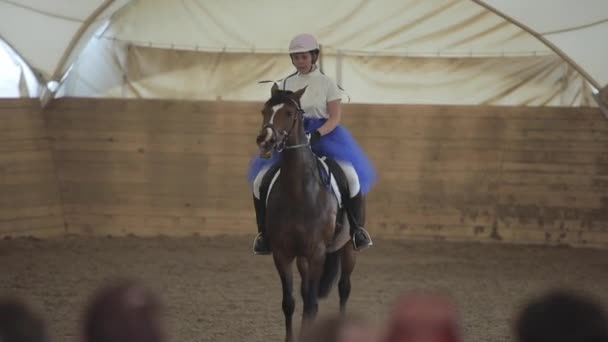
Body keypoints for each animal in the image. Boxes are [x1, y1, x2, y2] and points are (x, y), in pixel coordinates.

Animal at [255, 83, 356, 342]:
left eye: (289, 113)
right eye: (264, 111)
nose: (265, 141)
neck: (298, 193)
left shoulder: (317, 252)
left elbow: (311, 305)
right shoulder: (282, 254)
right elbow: (290, 303)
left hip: (348, 248)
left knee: (344, 289)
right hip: (301, 258)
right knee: (305, 292)